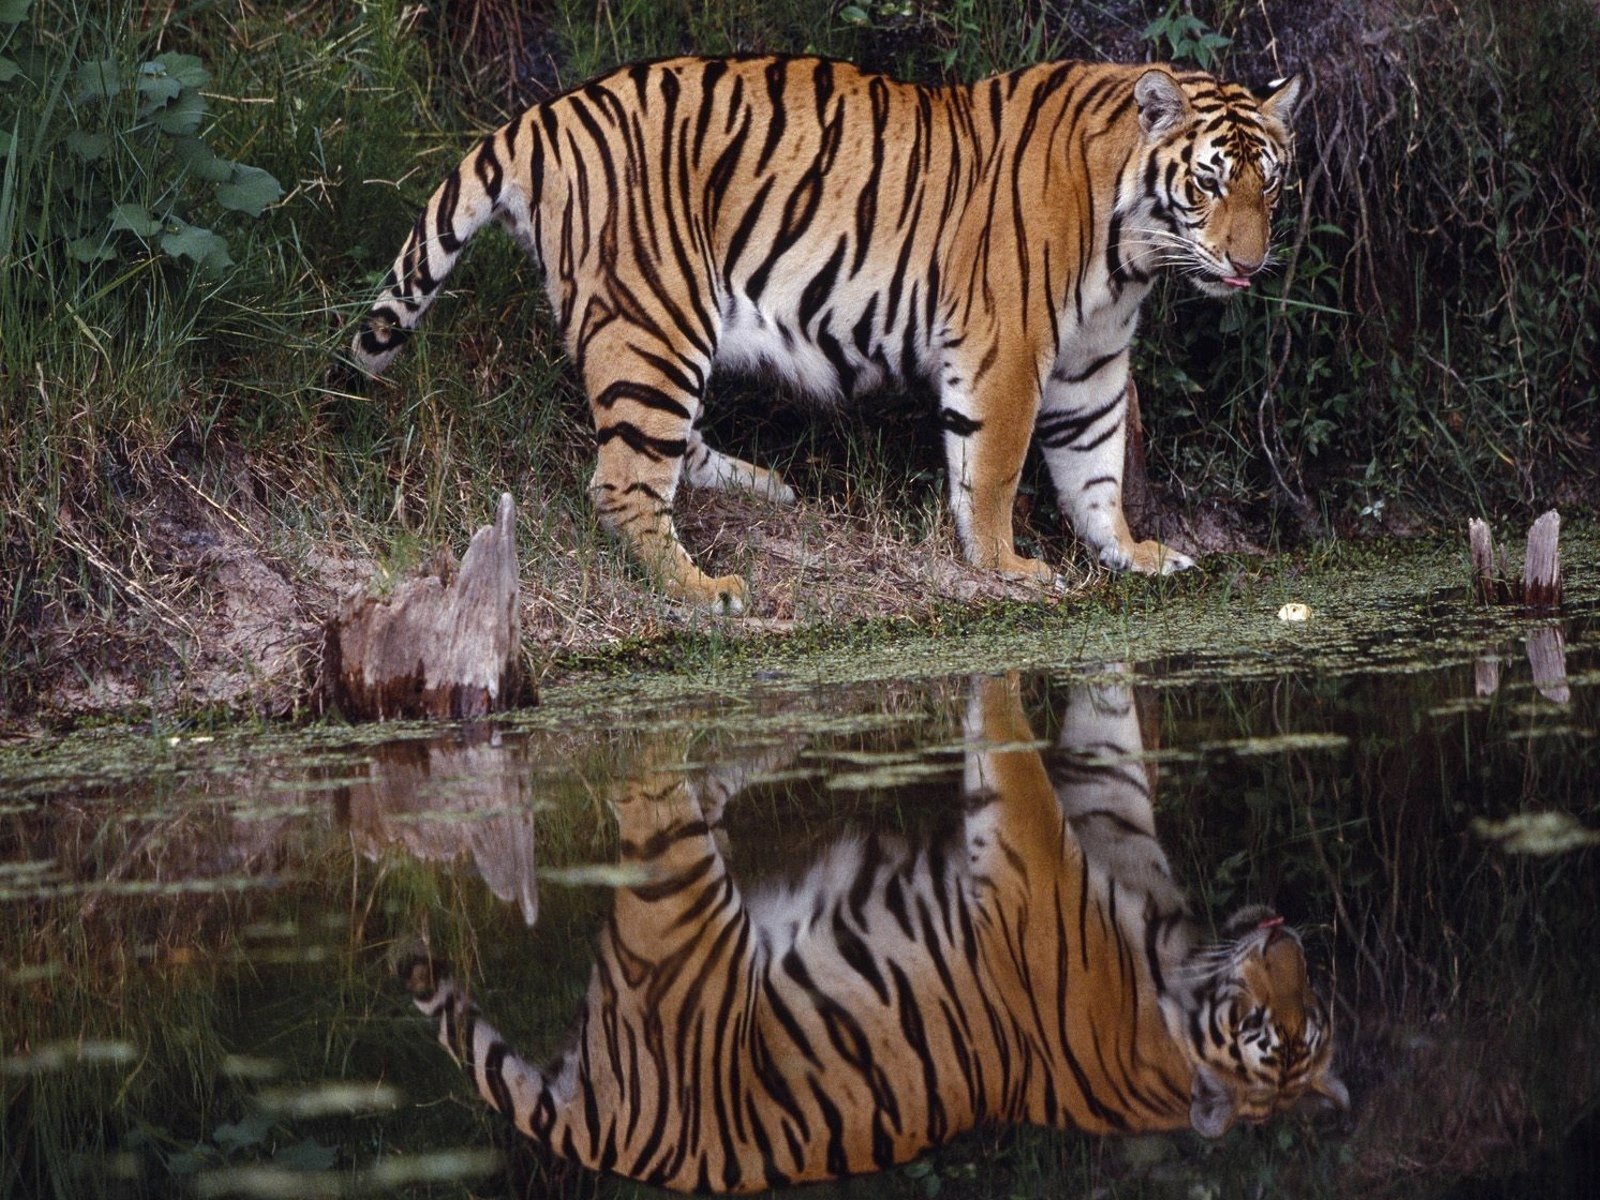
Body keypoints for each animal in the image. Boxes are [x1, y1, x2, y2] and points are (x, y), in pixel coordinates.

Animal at [350, 52, 1299, 614]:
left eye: (1272, 186)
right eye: (1209, 184)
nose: (1249, 265)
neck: (1131, 251)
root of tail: (543, 116)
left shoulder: (1092, 361)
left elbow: (1096, 466)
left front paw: (1131, 553)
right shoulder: (1007, 347)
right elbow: (994, 469)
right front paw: (1009, 568)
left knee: (667, 448)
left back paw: (763, 487)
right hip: (655, 317)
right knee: (623, 481)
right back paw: (705, 588)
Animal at [393, 678, 1344, 1196]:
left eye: (1301, 1021)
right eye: (1266, 1025)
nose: (1287, 936)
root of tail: (613, 1136)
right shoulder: (1057, 850)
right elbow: (1045, 747)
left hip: (672, 900)